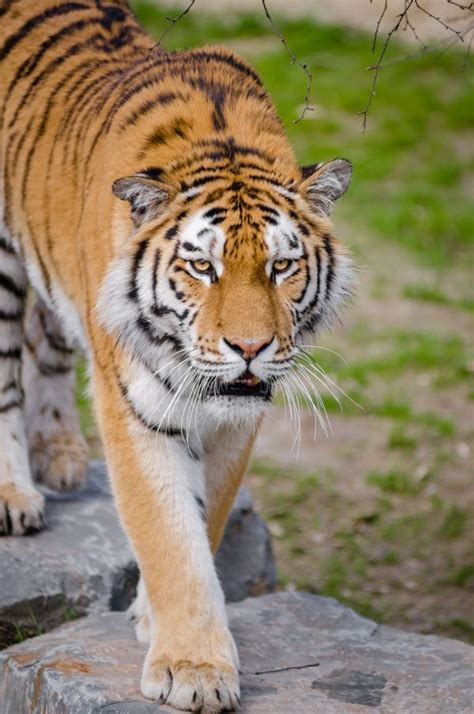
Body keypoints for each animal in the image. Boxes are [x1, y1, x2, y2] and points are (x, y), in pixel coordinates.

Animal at [0, 1, 354, 708]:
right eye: (201, 266)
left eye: (281, 267)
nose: (251, 348)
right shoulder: (134, 405)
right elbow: (168, 533)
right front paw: (195, 669)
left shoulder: (235, 421)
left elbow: (205, 519)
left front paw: (151, 616)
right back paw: (13, 496)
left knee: (43, 341)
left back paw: (60, 455)